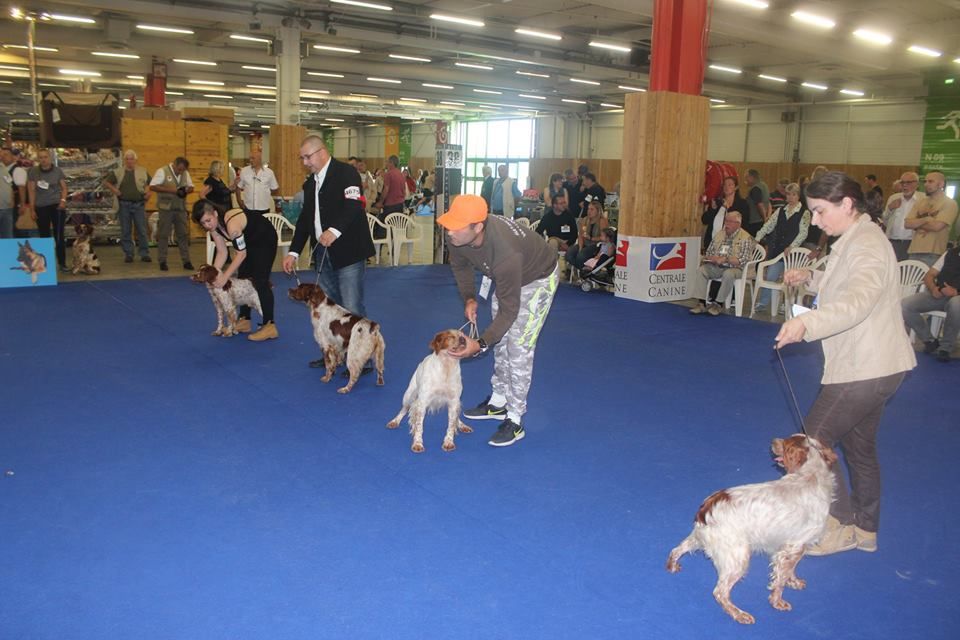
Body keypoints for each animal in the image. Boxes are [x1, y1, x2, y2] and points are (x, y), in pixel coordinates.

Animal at [664, 436, 836, 624]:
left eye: (784, 443)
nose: (773, 440)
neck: (811, 476)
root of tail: (707, 507)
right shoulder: (793, 547)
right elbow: (780, 580)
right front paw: (777, 602)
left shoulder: (792, 547)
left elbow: (789, 571)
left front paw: (794, 582)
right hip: (738, 558)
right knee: (720, 592)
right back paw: (739, 614)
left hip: (701, 539)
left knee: (677, 549)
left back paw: (672, 566)